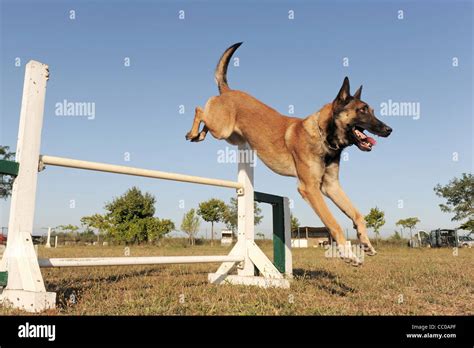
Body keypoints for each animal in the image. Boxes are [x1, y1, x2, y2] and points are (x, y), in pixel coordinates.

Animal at [185, 42, 392, 266]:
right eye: (362, 110)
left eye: (372, 110)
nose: (389, 130)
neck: (323, 136)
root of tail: (228, 91)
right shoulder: (310, 189)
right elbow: (334, 223)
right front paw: (347, 253)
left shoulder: (331, 186)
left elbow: (357, 214)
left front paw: (366, 243)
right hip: (221, 128)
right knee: (199, 109)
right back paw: (193, 132)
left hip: (231, 136)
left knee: (205, 120)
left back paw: (199, 134)